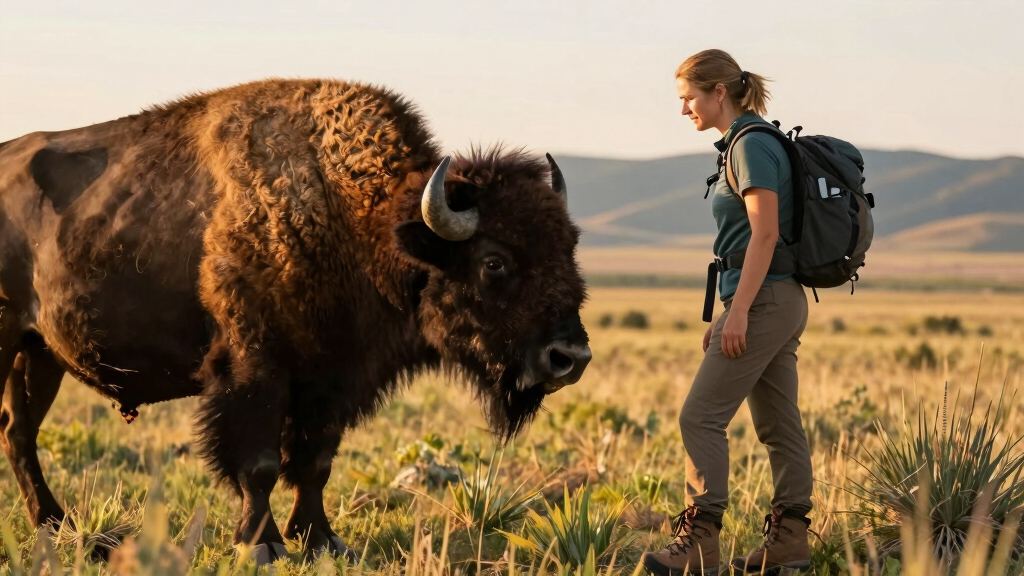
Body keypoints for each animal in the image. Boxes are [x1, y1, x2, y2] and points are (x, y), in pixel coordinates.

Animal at [0, 79, 591, 563]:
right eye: (494, 261)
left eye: (570, 248)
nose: (571, 357)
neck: (357, 218)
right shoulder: (255, 369)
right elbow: (260, 462)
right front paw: (260, 546)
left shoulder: (335, 380)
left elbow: (314, 463)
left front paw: (322, 541)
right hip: (11, 341)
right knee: (19, 432)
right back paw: (56, 527)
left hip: (40, 353)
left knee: (18, 430)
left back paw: (55, 526)